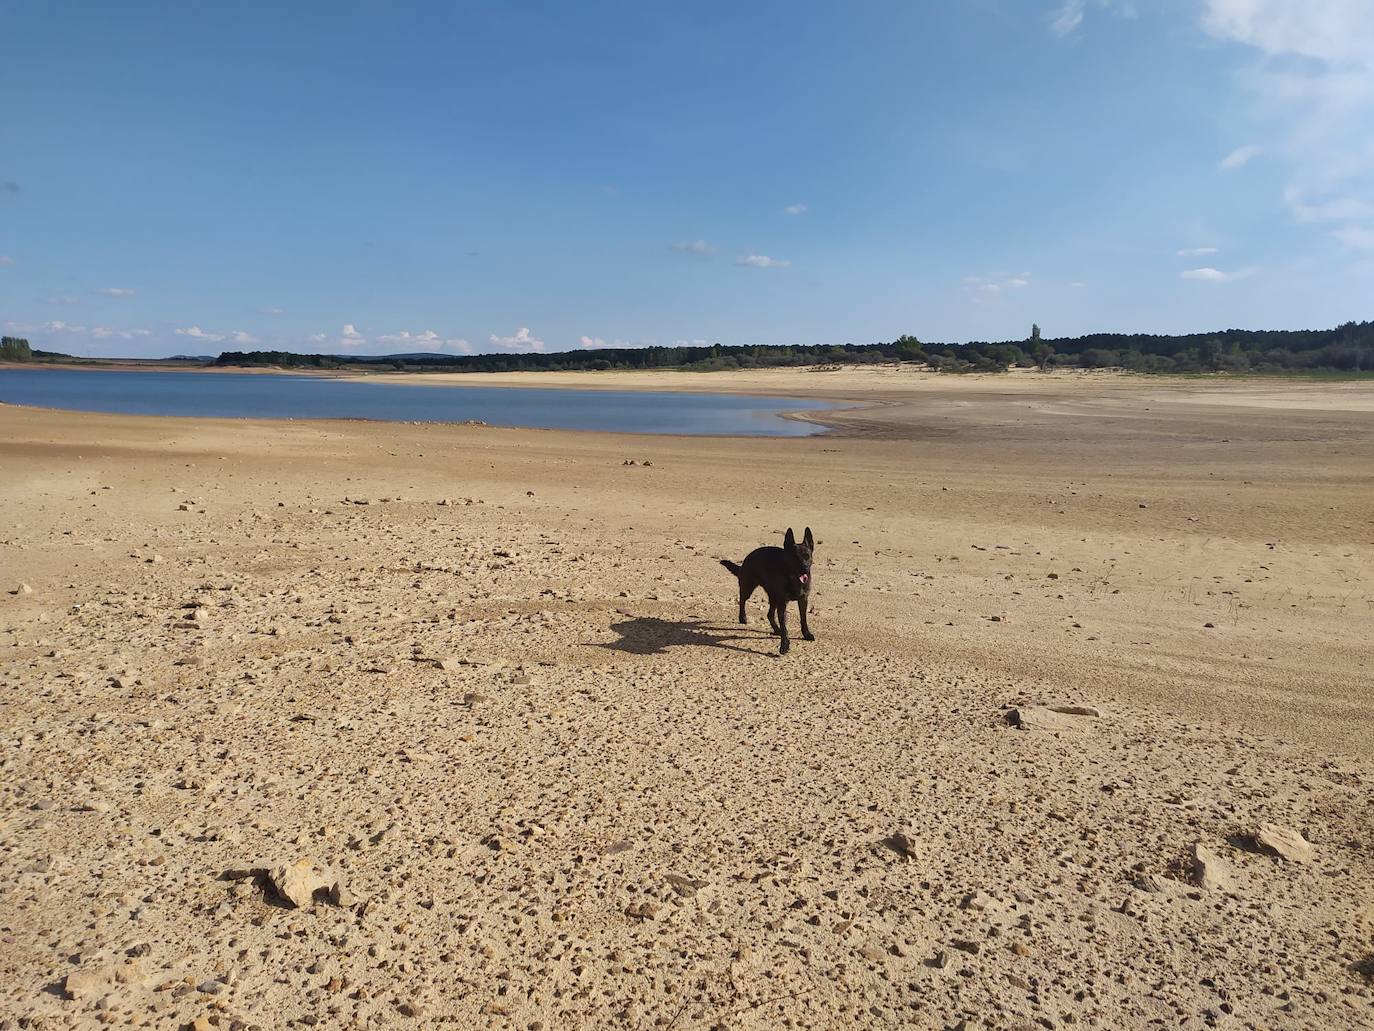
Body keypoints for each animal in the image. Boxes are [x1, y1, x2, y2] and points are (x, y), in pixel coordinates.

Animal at [719, 527, 813, 657]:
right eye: (794, 558)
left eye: (807, 556)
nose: (804, 569)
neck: (793, 578)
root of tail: (748, 557)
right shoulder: (782, 604)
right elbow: (785, 627)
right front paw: (784, 645)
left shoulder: (803, 600)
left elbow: (803, 619)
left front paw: (806, 634)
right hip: (749, 588)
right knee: (742, 600)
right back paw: (743, 617)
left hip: (773, 597)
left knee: (769, 614)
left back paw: (776, 629)